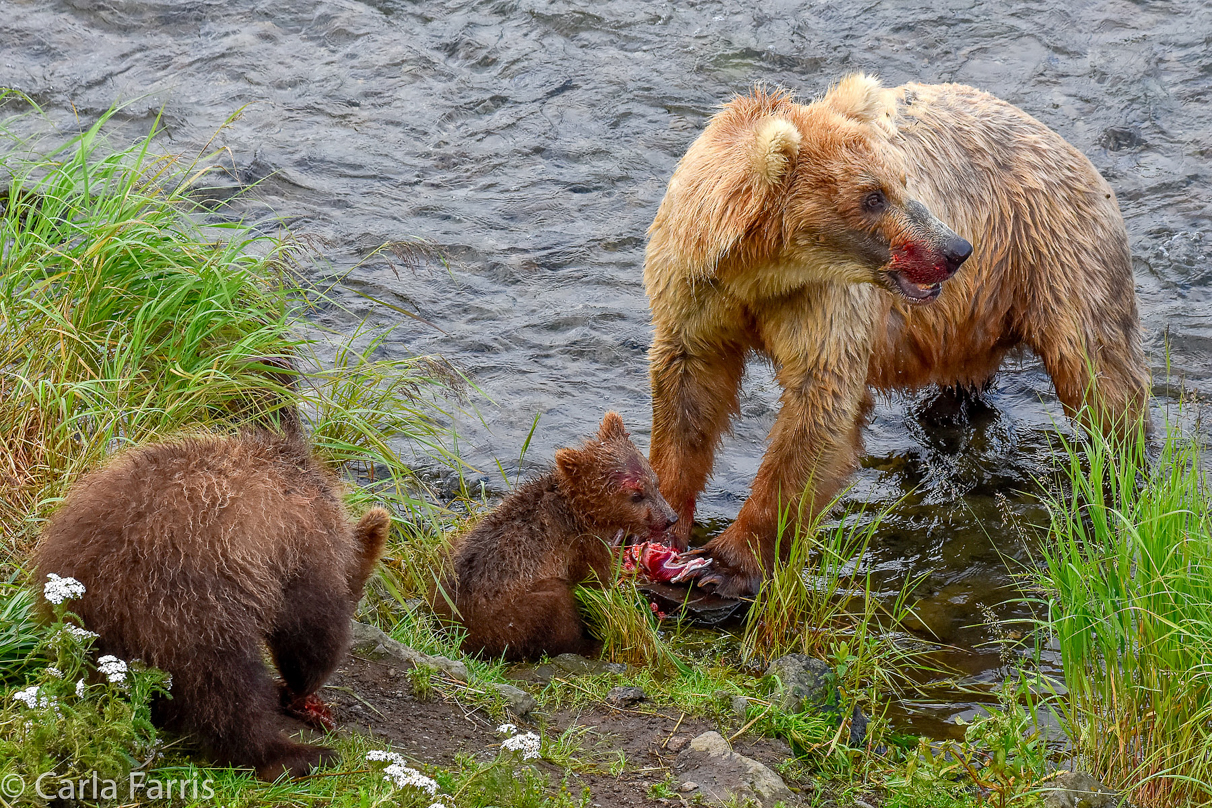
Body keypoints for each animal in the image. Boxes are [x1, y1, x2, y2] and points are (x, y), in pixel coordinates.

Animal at [644, 72, 1144, 598]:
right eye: (873, 197)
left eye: (901, 181)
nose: (956, 248)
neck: (758, 274)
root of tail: (1069, 148)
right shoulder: (695, 294)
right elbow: (687, 396)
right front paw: (661, 523)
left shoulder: (822, 304)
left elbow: (816, 411)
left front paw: (722, 565)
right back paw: (944, 416)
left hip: (1058, 255)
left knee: (1099, 373)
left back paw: (1119, 472)